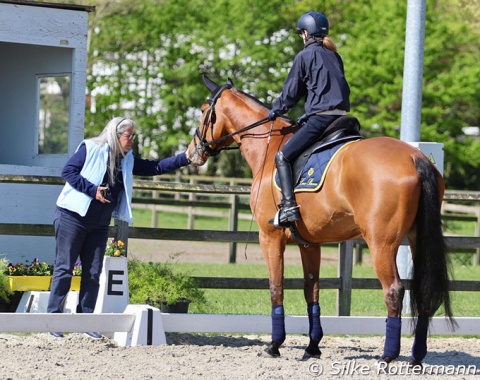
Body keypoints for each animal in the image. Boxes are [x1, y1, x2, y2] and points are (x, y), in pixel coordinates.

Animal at [188, 76, 454, 366]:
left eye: (203, 110)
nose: (192, 152)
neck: (270, 148)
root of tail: (415, 157)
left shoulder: (269, 237)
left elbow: (276, 288)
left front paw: (274, 344)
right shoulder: (309, 244)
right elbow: (311, 290)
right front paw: (312, 346)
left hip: (381, 244)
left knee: (394, 290)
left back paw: (388, 356)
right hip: (417, 239)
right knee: (423, 291)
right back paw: (417, 356)